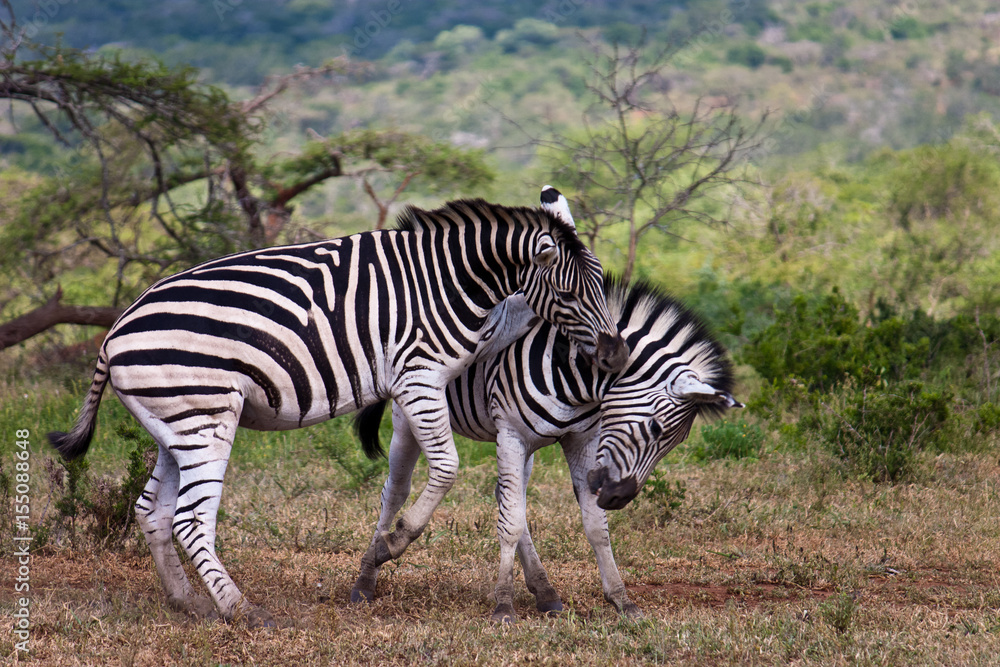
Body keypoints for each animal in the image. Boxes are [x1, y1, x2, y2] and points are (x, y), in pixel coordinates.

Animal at [48, 191, 628, 628]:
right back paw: (241, 610)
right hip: (205, 418)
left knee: (154, 510)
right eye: (570, 294)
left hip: (175, 422)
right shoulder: (418, 376)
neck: (454, 281)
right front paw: (393, 543)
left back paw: (187, 602)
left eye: (603, 284)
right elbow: (445, 471)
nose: (616, 355)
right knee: (190, 519)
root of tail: (114, 333)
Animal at [353, 276, 741, 622]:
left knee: (509, 497)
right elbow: (509, 522)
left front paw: (622, 600)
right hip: (411, 414)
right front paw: (503, 605)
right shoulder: (511, 434)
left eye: (677, 442)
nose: (618, 497)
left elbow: (593, 525)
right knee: (396, 490)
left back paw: (545, 590)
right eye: (656, 428)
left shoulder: (581, 439)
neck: (577, 374)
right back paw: (367, 576)